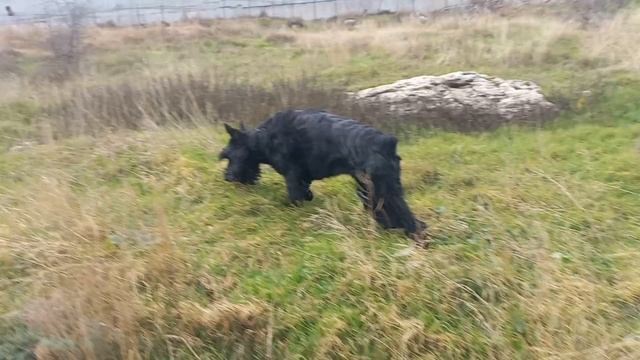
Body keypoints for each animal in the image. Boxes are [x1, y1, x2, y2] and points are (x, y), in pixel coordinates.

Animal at [219, 109, 424, 239]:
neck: (263, 138)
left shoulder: (292, 176)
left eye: (228, 155)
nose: (228, 177)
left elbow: (295, 197)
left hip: (381, 191)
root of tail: (387, 142)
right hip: (371, 190)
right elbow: (306, 192)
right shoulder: (302, 179)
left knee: (409, 219)